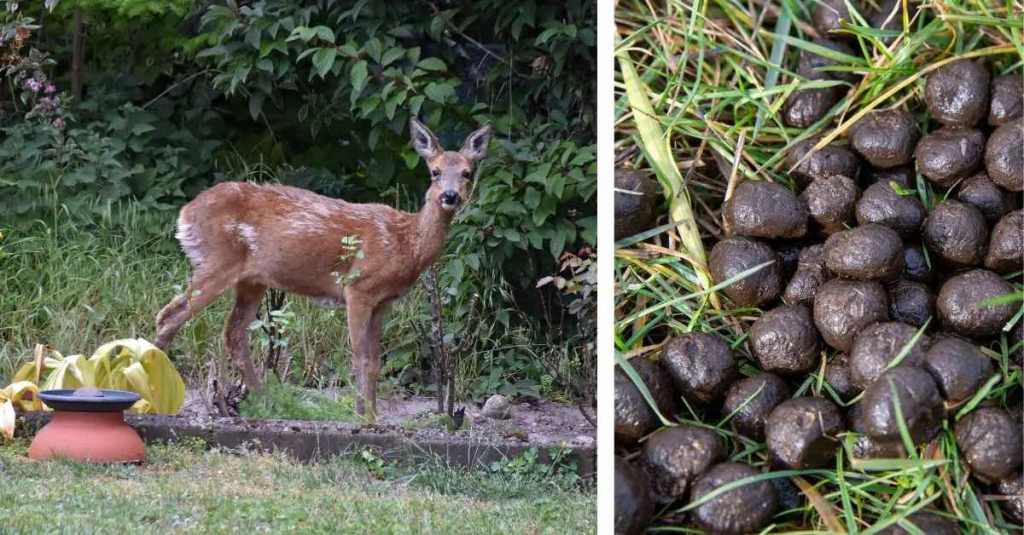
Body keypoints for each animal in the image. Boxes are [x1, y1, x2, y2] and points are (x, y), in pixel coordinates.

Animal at [153, 117, 493, 420]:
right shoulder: (358, 289)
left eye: (467, 173)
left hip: (252, 280)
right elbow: (359, 358)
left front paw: (372, 416)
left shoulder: (384, 302)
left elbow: (375, 362)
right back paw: (157, 397)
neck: (405, 242)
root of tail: (184, 214)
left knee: (233, 333)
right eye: (435, 172)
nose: (449, 196)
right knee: (169, 315)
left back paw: (264, 403)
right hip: (216, 262)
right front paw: (362, 416)